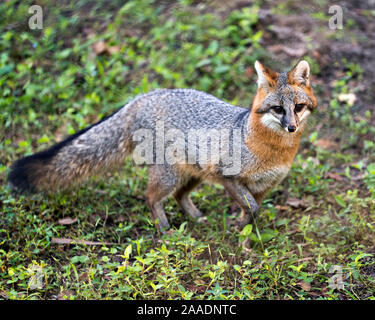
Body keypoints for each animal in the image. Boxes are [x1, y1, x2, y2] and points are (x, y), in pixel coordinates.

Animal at [7, 60, 318, 231]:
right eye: (277, 109)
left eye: (298, 107)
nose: (291, 127)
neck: (273, 151)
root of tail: (145, 95)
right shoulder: (227, 176)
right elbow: (251, 208)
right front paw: (237, 229)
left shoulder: (263, 187)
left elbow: (253, 211)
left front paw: (244, 237)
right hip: (170, 175)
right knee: (151, 197)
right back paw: (165, 229)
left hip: (192, 174)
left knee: (179, 196)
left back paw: (196, 218)